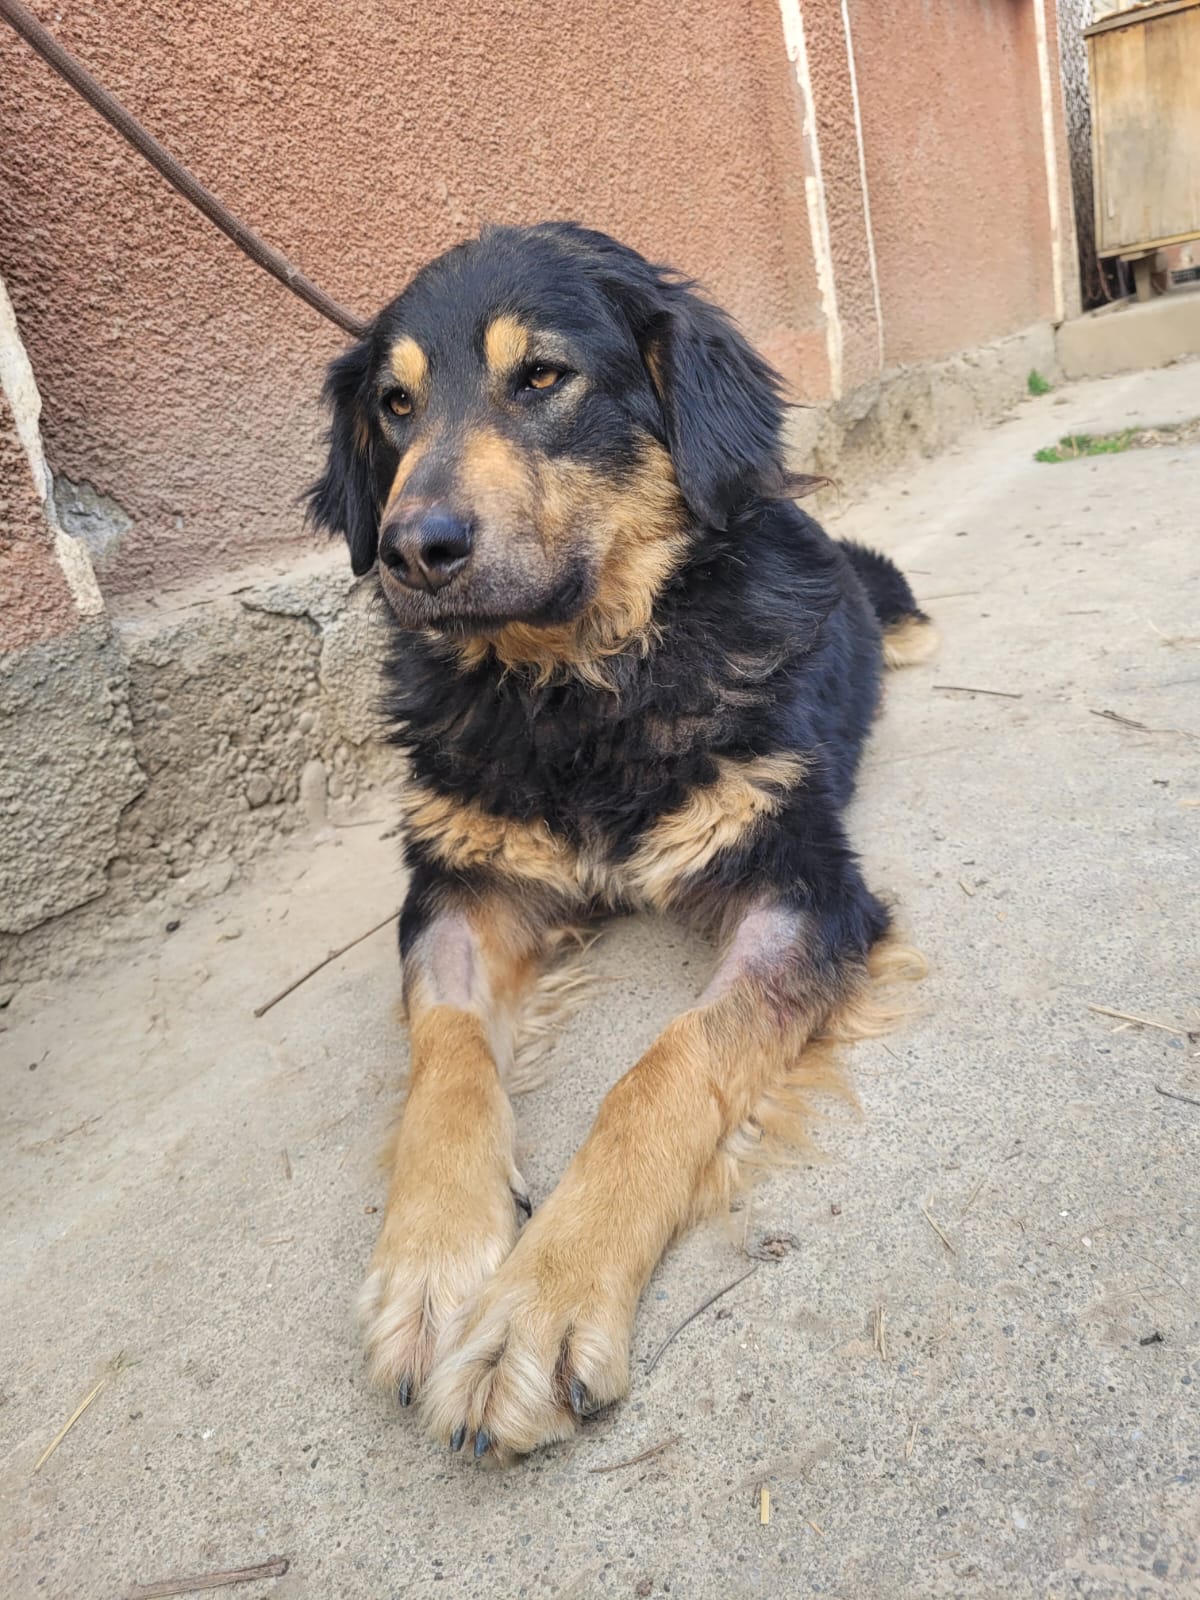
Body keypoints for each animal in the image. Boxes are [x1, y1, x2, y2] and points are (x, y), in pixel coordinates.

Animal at [308, 222, 935, 1463]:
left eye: (544, 378)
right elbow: (447, 1053)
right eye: (395, 406)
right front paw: (435, 1263)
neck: (580, 688)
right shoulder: (459, 887)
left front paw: (536, 1305)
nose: (411, 549)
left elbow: (668, 1065)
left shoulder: (801, 883)